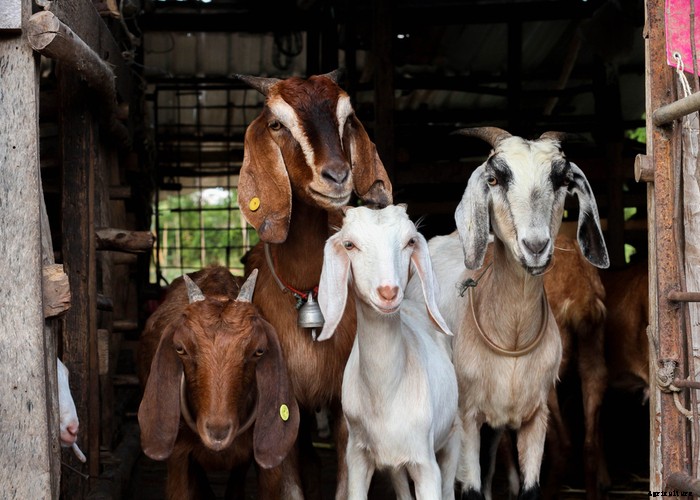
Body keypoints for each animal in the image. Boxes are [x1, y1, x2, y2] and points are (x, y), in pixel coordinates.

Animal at [234, 70, 392, 498]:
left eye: (348, 117)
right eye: (276, 123)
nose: (337, 176)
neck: (306, 287)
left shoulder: (345, 403)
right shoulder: (281, 404)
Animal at [316, 204, 461, 500]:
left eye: (410, 242)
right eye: (349, 245)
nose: (388, 292)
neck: (385, 397)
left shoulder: (426, 463)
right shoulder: (357, 455)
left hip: (453, 435)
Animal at [408, 127, 609, 500]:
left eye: (562, 179)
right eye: (495, 178)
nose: (536, 246)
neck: (512, 337)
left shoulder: (533, 415)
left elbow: (527, 488)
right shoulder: (468, 416)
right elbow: (470, 490)